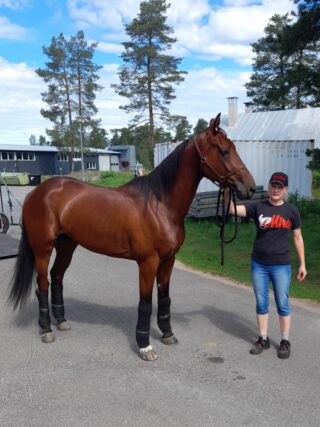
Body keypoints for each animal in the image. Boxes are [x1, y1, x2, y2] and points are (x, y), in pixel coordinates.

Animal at [8, 113, 256, 362]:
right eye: (224, 150)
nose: (250, 188)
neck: (160, 204)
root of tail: (37, 192)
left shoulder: (168, 260)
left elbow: (164, 298)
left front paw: (168, 335)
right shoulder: (148, 262)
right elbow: (145, 303)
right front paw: (145, 346)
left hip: (67, 246)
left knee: (57, 277)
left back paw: (61, 322)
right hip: (42, 249)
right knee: (43, 284)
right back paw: (46, 330)